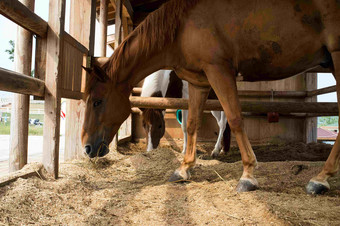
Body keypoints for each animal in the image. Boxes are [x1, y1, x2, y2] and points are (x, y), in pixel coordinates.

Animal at [81, 0, 340, 194]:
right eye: (144, 126)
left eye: (97, 101)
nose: (87, 147)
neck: (182, 26)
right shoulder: (199, 82)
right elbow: (192, 124)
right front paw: (184, 168)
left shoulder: (218, 71)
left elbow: (235, 119)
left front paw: (248, 175)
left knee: (224, 121)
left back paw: (319, 179)